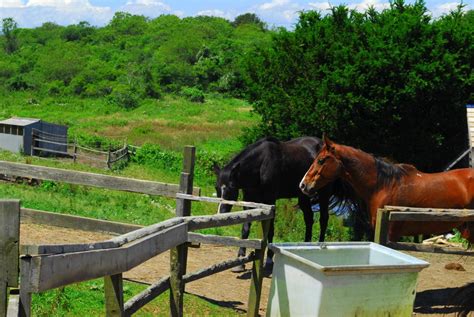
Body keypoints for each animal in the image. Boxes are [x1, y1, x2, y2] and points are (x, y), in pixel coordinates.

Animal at [213, 135, 358, 270]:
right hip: (303, 196)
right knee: (309, 219)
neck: (260, 164)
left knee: (323, 220)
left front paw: (269, 260)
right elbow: (245, 228)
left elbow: (270, 230)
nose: (221, 213)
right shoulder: (249, 200)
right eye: (216, 187)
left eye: (231, 187)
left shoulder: (270, 200)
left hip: (324, 195)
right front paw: (240, 260)